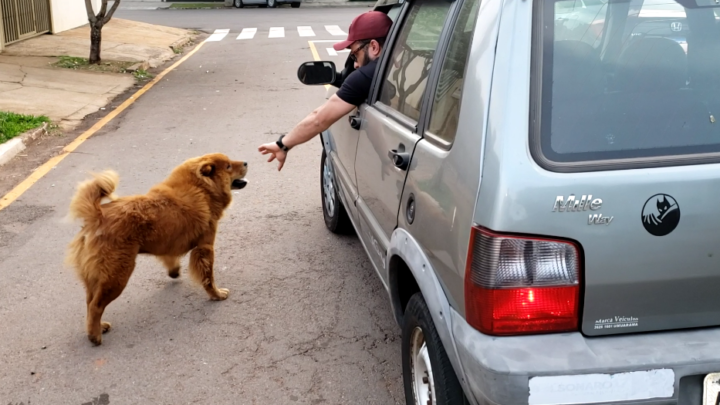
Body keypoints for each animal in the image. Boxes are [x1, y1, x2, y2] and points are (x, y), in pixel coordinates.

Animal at [65, 152, 250, 344]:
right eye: (228, 166)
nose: (246, 162)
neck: (202, 187)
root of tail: (97, 216)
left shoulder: (169, 243)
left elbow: (170, 259)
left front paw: (174, 271)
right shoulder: (205, 248)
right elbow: (208, 278)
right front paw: (217, 294)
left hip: (96, 278)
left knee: (89, 303)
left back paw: (98, 327)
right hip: (117, 276)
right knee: (96, 306)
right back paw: (95, 336)